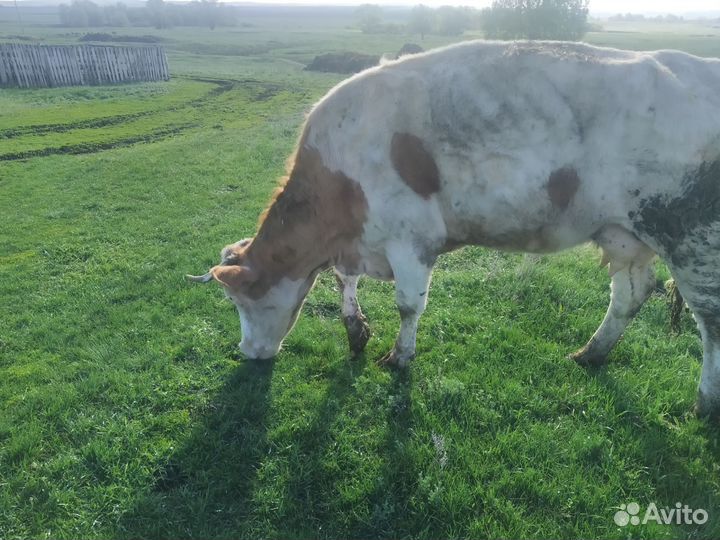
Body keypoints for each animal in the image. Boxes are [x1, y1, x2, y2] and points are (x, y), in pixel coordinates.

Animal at [188, 40, 720, 418]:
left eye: (242, 301)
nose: (246, 352)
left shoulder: (411, 237)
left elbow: (408, 305)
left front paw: (398, 357)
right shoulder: (359, 239)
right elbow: (344, 280)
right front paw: (356, 331)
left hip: (694, 239)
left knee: (710, 321)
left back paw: (705, 402)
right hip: (625, 234)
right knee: (630, 294)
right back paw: (591, 353)